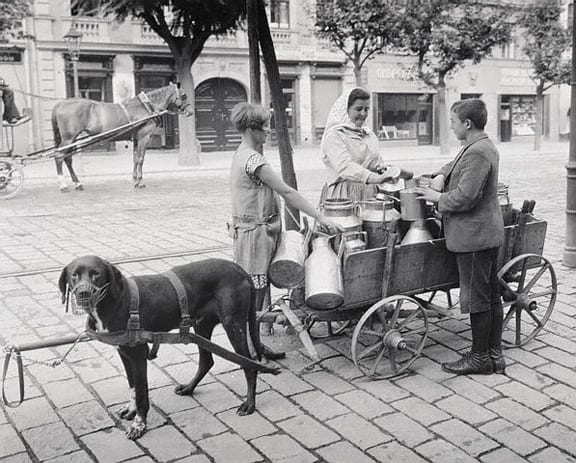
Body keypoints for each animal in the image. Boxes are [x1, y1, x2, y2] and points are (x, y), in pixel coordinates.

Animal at [51, 82, 191, 191]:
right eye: (184, 95)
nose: (190, 112)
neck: (146, 106)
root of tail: (60, 104)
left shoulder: (136, 138)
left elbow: (135, 159)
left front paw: (135, 180)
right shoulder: (144, 137)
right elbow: (141, 159)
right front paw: (140, 181)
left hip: (72, 139)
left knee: (67, 159)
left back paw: (77, 183)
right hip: (68, 138)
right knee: (59, 156)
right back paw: (63, 185)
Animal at [58, 256, 274, 440]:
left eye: (96, 273)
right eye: (74, 275)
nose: (83, 294)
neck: (115, 301)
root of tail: (240, 269)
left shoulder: (138, 355)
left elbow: (142, 393)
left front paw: (139, 425)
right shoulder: (124, 352)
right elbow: (132, 386)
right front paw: (131, 410)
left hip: (234, 325)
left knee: (249, 365)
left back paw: (249, 404)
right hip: (201, 325)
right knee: (207, 361)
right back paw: (189, 388)